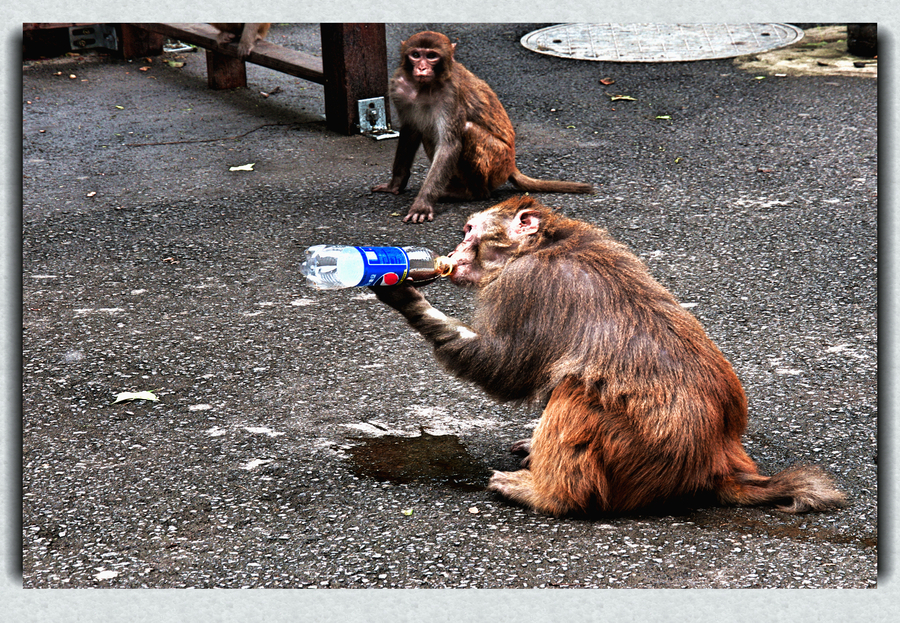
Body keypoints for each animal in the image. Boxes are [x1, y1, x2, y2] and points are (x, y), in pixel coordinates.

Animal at [370, 31, 596, 224]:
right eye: (416, 55)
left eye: (432, 56)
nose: (422, 68)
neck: (423, 88)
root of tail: (511, 165)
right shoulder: (399, 87)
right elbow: (410, 131)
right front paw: (395, 184)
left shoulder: (451, 95)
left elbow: (449, 145)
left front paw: (422, 204)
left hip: (498, 163)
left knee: (467, 130)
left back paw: (470, 193)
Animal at [370, 196, 848, 516]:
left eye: (469, 231)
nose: (452, 254)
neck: (544, 245)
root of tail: (717, 456)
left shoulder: (522, 286)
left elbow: (504, 368)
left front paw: (403, 294)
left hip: (640, 452)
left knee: (577, 391)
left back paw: (551, 495)